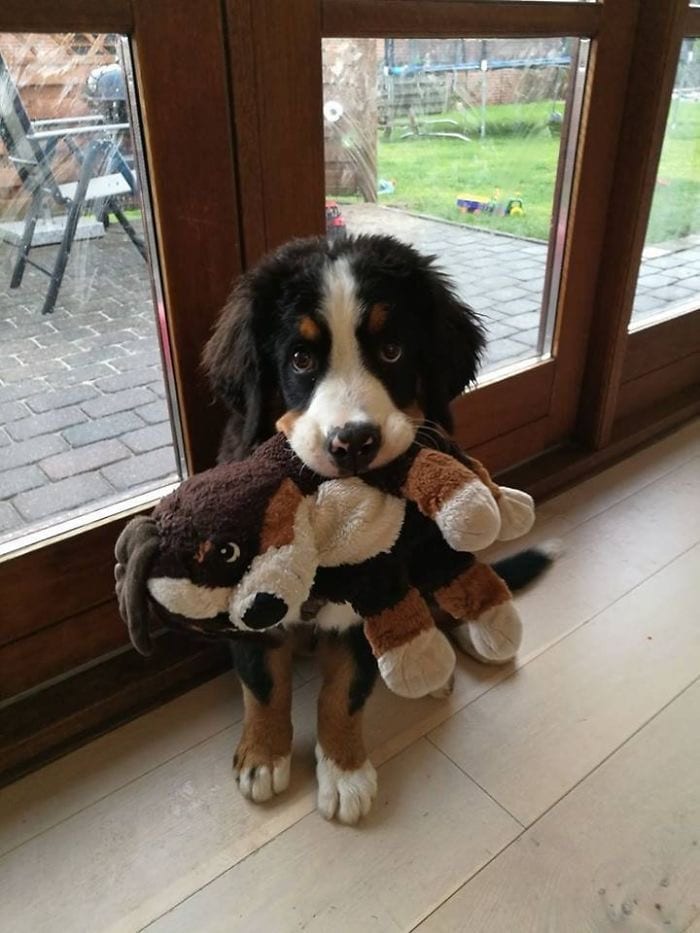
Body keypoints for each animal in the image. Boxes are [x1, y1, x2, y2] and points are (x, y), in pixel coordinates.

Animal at [202, 233, 548, 824]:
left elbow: (343, 695)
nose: (354, 442)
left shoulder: (379, 590)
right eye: (300, 359)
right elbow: (263, 683)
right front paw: (264, 755)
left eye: (391, 352)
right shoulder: (249, 598)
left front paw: (344, 772)